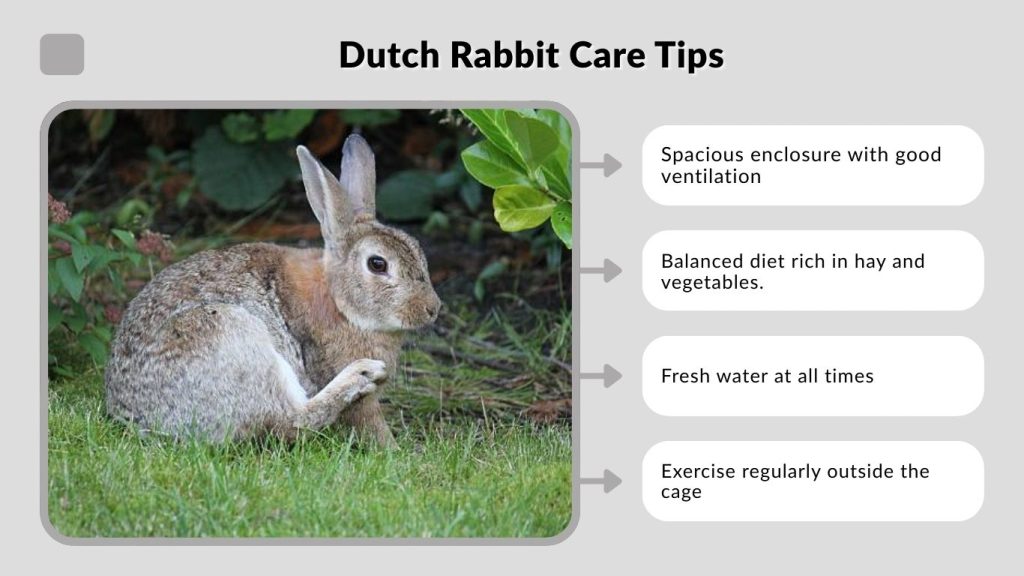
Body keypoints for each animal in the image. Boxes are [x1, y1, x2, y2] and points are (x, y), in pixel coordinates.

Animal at [104, 134, 441, 446]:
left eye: (418, 249)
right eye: (377, 264)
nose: (433, 308)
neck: (339, 301)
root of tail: (143, 420)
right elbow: (367, 421)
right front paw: (394, 450)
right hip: (225, 332)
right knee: (290, 421)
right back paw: (361, 374)